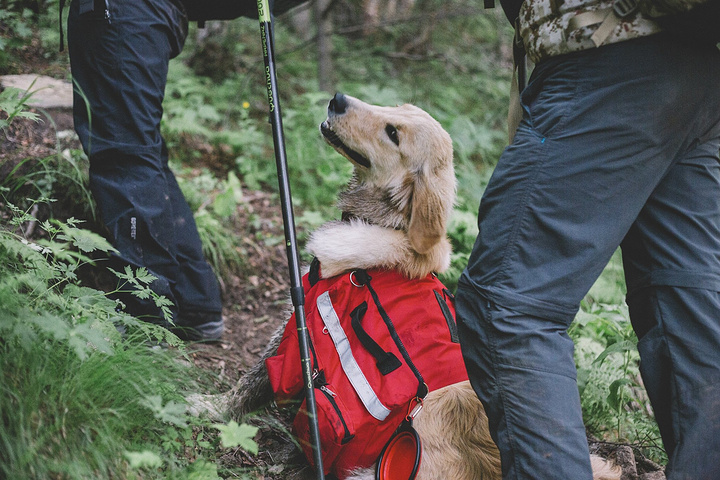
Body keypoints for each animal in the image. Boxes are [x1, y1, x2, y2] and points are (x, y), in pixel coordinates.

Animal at [191, 94, 620, 480]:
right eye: (395, 109)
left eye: (393, 133)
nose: (337, 99)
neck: (387, 228)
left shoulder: (301, 328)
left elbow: (250, 384)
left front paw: (205, 406)